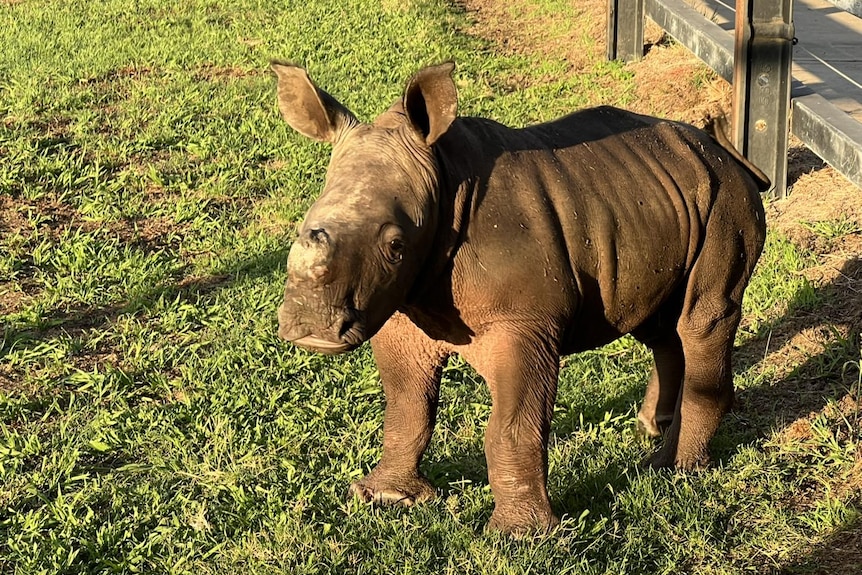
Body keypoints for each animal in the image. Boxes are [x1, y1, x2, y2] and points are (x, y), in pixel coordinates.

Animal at [273, 61, 767, 534]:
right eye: (302, 227)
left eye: (395, 245)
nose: (310, 328)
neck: (442, 182)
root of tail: (728, 156)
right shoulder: (398, 309)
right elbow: (407, 405)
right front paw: (387, 496)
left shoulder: (522, 324)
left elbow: (512, 425)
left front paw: (519, 535)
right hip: (654, 202)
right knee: (657, 322)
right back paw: (652, 430)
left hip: (723, 201)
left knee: (701, 317)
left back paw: (672, 469)